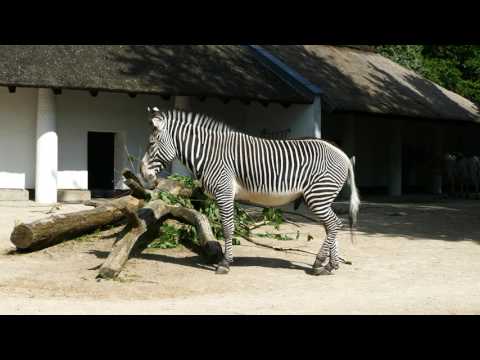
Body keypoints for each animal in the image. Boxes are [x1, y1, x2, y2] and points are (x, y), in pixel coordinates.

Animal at [140, 107, 360, 276]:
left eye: (151, 143)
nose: (143, 175)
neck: (208, 154)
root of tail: (342, 153)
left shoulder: (224, 192)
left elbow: (228, 227)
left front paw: (225, 263)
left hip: (318, 196)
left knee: (334, 223)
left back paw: (319, 263)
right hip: (322, 197)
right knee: (331, 225)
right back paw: (330, 266)